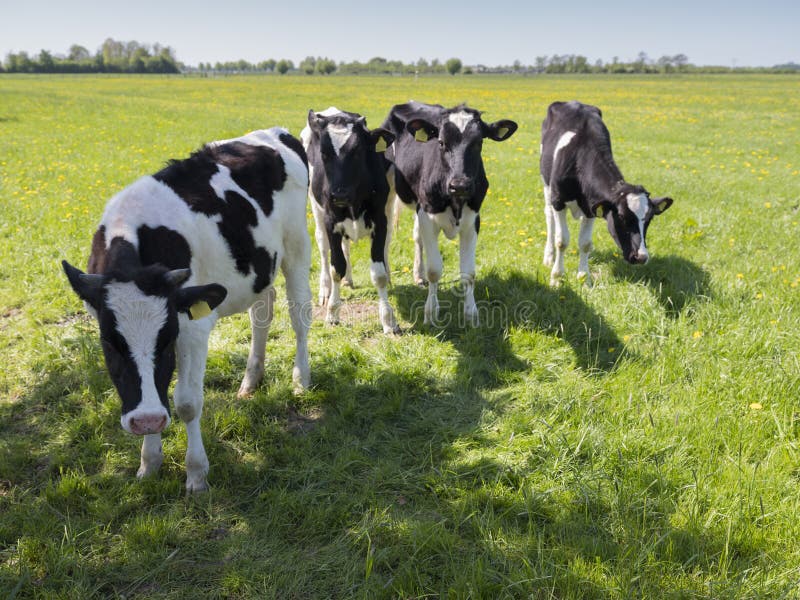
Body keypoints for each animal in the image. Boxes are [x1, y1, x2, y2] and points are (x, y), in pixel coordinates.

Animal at [61, 127, 312, 492]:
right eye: (109, 342)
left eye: (166, 339)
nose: (146, 419)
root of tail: (274, 133)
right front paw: (149, 463)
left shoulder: (193, 328)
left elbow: (187, 404)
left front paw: (196, 474)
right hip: (259, 267)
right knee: (262, 311)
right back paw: (251, 380)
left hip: (297, 247)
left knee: (299, 315)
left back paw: (301, 379)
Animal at [300, 108, 400, 332]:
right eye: (324, 154)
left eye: (357, 151)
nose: (339, 195)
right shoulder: (331, 222)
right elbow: (336, 267)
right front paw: (332, 313)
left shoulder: (380, 221)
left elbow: (379, 274)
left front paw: (388, 320)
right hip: (316, 209)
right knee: (323, 248)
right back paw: (325, 289)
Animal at [382, 103, 520, 328]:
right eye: (441, 142)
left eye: (479, 142)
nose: (460, 185)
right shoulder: (428, 216)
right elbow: (434, 270)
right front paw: (430, 314)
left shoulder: (472, 221)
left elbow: (469, 273)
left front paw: (471, 315)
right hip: (390, 192)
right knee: (386, 237)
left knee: (417, 238)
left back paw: (418, 275)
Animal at [540, 100, 672, 286]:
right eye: (622, 217)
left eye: (650, 218)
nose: (641, 257)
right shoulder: (558, 200)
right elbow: (562, 241)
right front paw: (557, 277)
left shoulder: (590, 207)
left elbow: (585, 243)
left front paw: (584, 278)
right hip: (546, 185)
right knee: (549, 217)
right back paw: (548, 256)